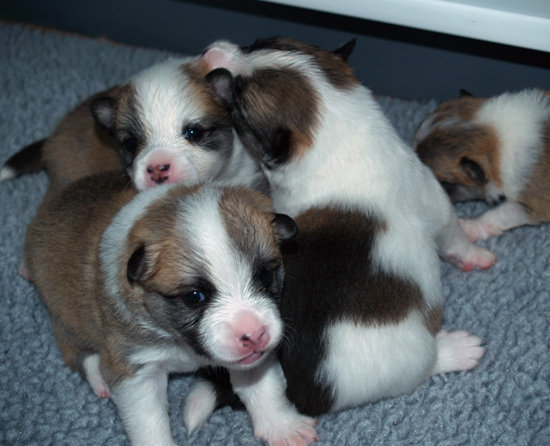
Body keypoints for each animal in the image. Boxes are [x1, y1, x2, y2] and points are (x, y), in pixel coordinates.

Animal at [25, 171, 316, 446]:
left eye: (265, 275)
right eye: (194, 297)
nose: (255, 336)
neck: (180, 341)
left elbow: (264, 386)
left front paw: (282, 426)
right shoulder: (137, 371)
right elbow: (149, 423)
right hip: (62, 313)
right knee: (76, 351)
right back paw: (98, 376)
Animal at [181, 39, 488, 432]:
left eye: (238, 98)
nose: (211, 54)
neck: (335, 125)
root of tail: (307, 392)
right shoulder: (435, 198)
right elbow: (452, 232)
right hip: (414, 355)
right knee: (425, 366)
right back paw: (455, 351)